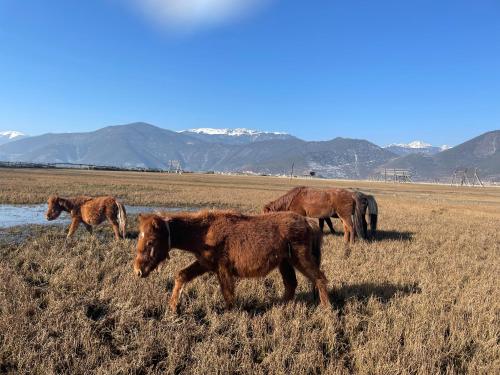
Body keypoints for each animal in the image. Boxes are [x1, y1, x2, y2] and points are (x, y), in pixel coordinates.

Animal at [133, 212, 330, 312]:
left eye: (150, 241)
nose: (138, 271)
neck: (202, 232)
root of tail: (308, 221)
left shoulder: (222, 268)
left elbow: (228, 293)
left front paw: (230, 313)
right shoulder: (205, 264)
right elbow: (181, 276)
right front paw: (174, 307)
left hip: (301, 258)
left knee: (319, 278)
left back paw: (327, 310)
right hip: (285, 262)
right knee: (291, 284)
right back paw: (281, 306)